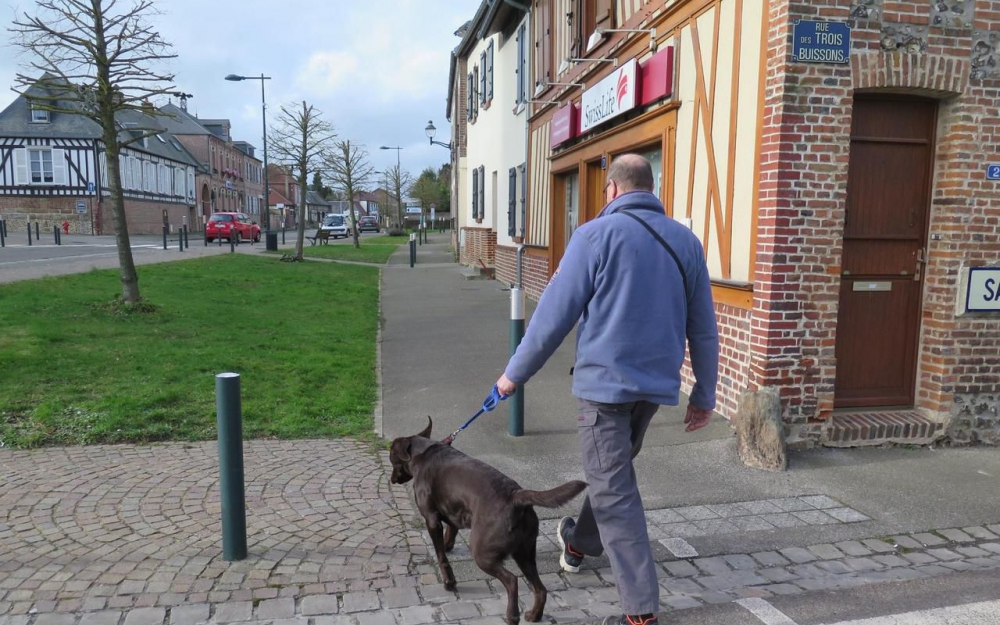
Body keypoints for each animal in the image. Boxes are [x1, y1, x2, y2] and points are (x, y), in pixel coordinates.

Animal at [388, 416, 584, 625]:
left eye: (391, 457)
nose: (391, 479)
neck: (423, 453)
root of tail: (516, 496)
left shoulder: (431, 519)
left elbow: (441, 556)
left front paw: (449, 581)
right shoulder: (454, 511)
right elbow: (451, 531)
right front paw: (448, 545)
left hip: (483, 552)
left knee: (512, 580)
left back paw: (512, 616)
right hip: (525, 553)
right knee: (540, 588)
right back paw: (534, 615)